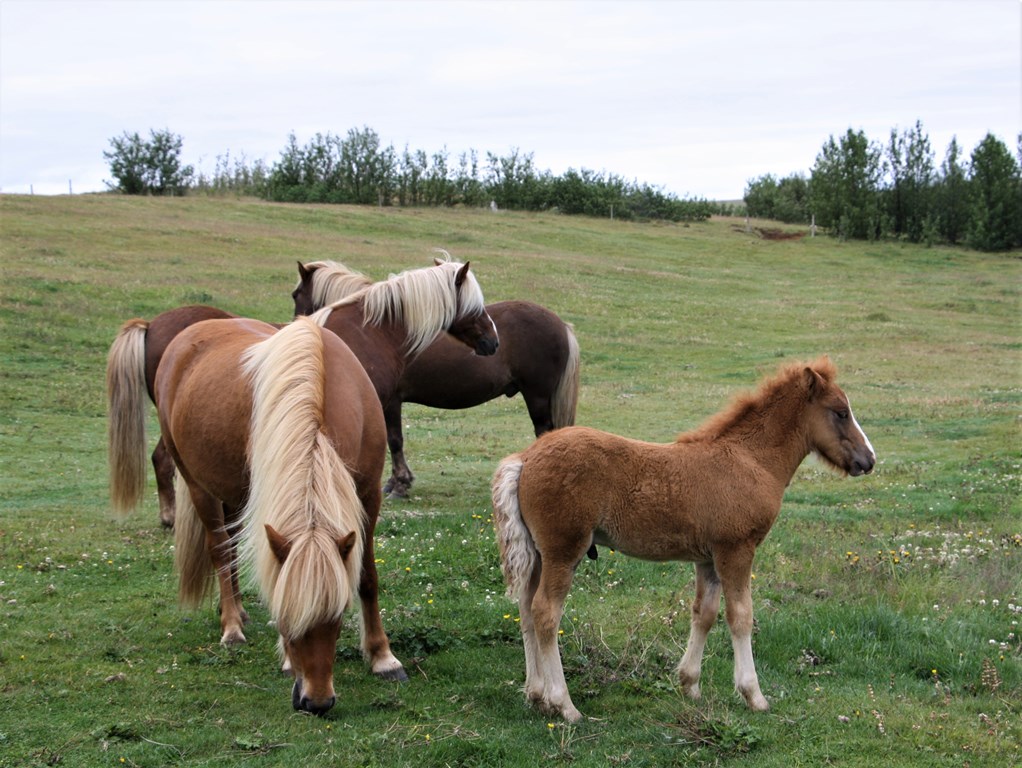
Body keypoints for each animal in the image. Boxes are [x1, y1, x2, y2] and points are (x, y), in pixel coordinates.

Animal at [490, 357, 874, 724]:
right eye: (841, 412)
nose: (868, 460)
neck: (751, 460)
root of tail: (525, 458)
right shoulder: (737, 549)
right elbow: (741, 616)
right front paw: (753, 695)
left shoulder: (709, 557)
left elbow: (704, 614)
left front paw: (690, 685)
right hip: (563, 551)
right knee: (546, 613)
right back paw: (564, 705)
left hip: (540, 554)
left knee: (526, 609)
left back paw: (536, 696)